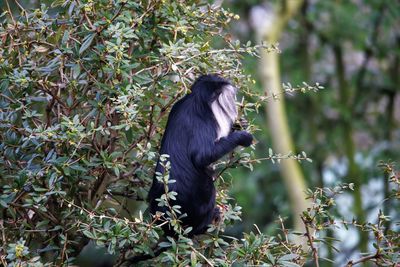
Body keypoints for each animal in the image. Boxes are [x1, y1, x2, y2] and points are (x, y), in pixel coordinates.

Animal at [147, 74, 253, 238]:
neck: (197, 100)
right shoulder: (206, 120)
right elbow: (202, 156)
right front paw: (242, 136)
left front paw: (239, 124)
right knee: (207, 181)